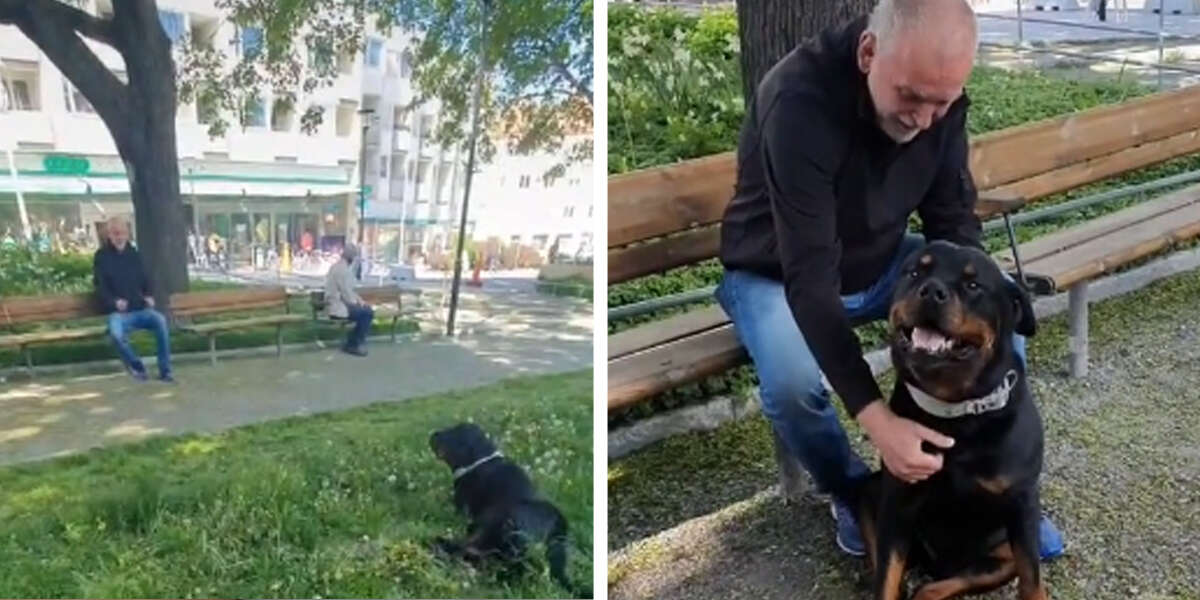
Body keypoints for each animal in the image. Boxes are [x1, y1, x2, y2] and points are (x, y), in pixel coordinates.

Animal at [432, 422, 590, 595]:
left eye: (453, 434)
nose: (433, 434)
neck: (481, 460)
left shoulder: (463, 509)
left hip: (493, 527)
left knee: (469, 550)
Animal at [854, 240, 1051, 600]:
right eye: (914, 272)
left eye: (973, 285)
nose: (932, 291)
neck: (955, 412)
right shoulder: (897, 503)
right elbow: (886, 578)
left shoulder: (1022, 502)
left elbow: (1032, 578)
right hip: (871, 492)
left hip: (1003, 552)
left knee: (942, 584)